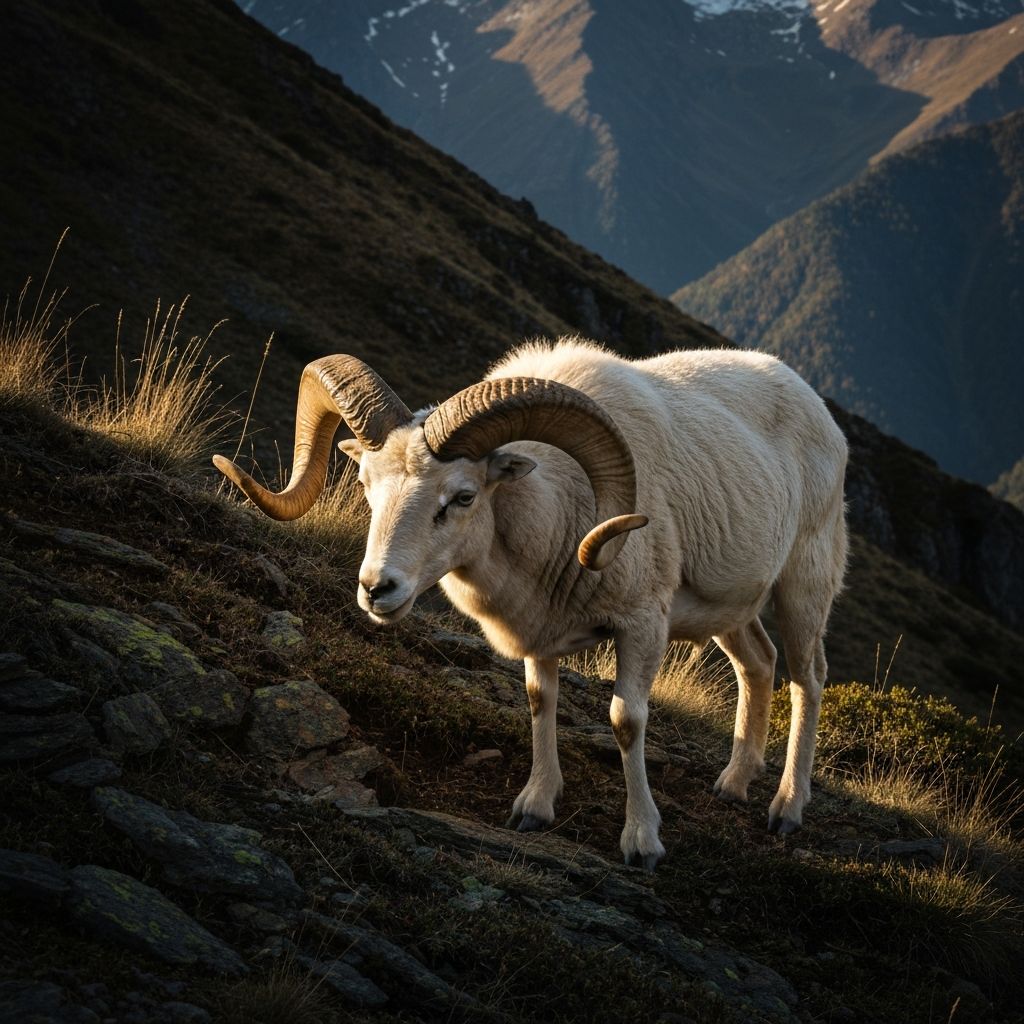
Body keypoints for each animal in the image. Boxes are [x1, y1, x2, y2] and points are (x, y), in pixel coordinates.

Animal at [214, 338, 848, 869]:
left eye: (463, 497)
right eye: (367, 482)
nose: (377, 588)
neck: (560, 504)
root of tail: (812, 403)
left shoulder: (643, 624)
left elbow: (627, 722)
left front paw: (642, 842)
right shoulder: (540, 633)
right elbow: (541, 702)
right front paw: (534, 809)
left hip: (804, 585)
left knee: (807, 678)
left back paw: (787, 809)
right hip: (731, 606)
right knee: (759, 664)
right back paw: (734, 783)